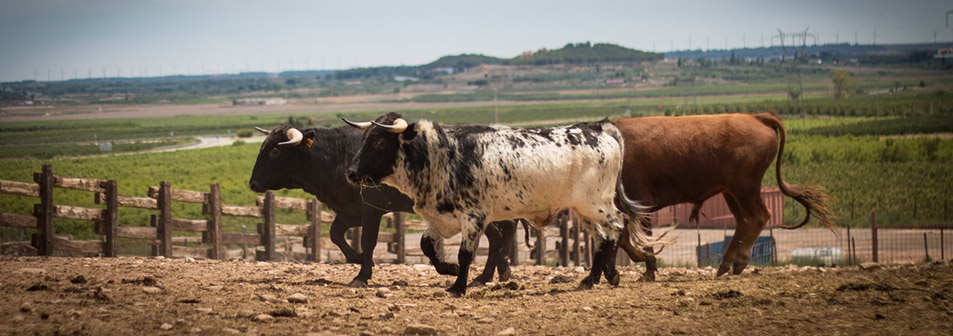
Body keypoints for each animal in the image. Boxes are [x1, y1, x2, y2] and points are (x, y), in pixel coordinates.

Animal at [244, 124, 512, 288]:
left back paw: (486, 275)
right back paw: (490, 275)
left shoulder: (371, 210)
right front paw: (357, 258)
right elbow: (335, 235)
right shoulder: (349, 212)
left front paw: (362, 274)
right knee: (498, 236)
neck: (336, 156)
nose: (253, 183)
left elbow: (368, 241)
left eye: (276, 151)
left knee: (498, 235)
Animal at [344, 113, 660, 296]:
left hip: (597, 204)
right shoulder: (442, 220)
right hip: (583, 211)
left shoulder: (474, 218)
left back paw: (606, 275)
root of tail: (599, 129)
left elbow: (466, 255)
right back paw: (593, 278)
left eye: (379, 142)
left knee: (617, 227)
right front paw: (448, 270)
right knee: (602, 237)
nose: (351, 173)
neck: (441, 156)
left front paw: (458, 286)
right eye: (364, 139)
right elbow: (427, 247)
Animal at [616, 111, 832, 280]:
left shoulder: (639, 204)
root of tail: (756, 117)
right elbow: (630, 238)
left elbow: (638, 238)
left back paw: (739, 262)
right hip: (731, 193)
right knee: (744, 221)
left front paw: (647, 266)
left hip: (745, 189)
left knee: (759, 216)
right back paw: (726, 264)